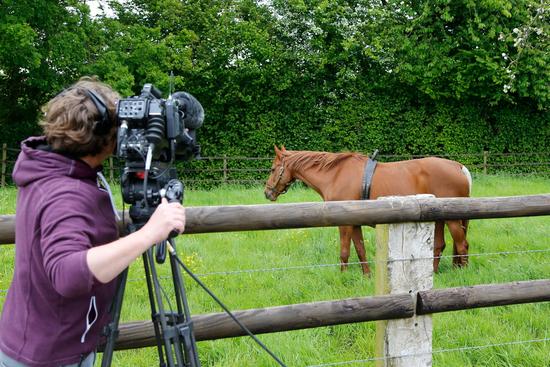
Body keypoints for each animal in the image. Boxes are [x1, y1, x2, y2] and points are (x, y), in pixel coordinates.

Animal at [266, 147, 472, 276]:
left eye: (273, 168)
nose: (267, 192)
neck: (335, 174)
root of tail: (459, 167)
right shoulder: (355, 223)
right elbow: (360, 249)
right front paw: (366, 275)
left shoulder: (345, 223)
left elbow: (344, 251)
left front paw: (343, 276)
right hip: (441, 219)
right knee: (440, 246)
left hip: (452, 221)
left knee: (462, 245)